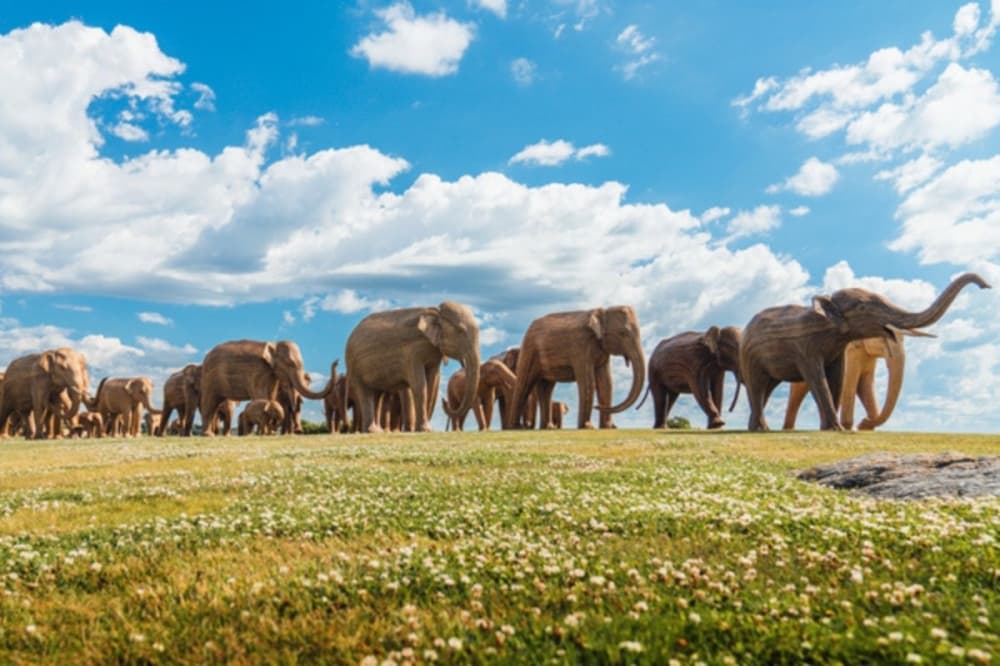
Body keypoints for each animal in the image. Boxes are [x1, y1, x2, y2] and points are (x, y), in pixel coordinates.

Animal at [199, 340, 336, 436]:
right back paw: (208, 435)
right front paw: (267, 433)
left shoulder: (271, 372)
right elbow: (261, 395)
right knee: (209, 404)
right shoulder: (258, 370)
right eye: (290, 363)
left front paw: (270, 433)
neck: (274, 345)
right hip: (209, 378)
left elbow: (271, 396)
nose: (336, 361)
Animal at [344, 301, 480, 433]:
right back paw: (372, 430)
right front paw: (425, 430)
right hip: (354, 365)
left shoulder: (433, 352)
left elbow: (430, 384)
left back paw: (377, 431)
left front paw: (424, 429)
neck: (436, 312)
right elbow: (420, 386)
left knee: (378, 395)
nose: (444, 401)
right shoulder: (413, 353)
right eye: (460, 331)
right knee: (366, 393)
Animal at [504, 306, 646, 430]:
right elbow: (588, 382)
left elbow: (606, 383)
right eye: (623, 333)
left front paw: (609, 427)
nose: (597, 406)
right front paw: (588, 427)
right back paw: (516, 428)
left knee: (546, 388)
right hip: (529, 348)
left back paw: (548, 428)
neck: (602, 311)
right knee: (524, 384)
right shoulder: (581, 347)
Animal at [741, 273, 990, 431]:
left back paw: (759, 427)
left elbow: (838, 378)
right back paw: (762, 429)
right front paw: (840, 428)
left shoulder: (841, 350)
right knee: (758, 385)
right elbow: (819, 379)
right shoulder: (806, 346)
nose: (986, 285)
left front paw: (834, 429)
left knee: (766, 388)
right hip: (750, 354)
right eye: (862, 307)